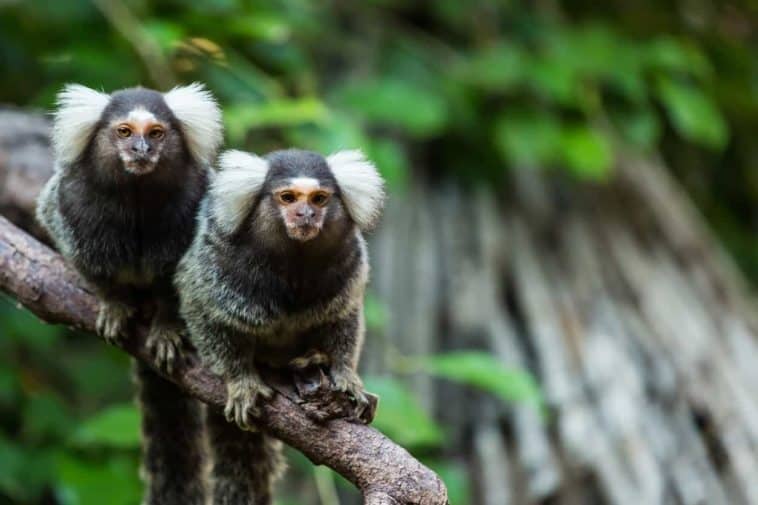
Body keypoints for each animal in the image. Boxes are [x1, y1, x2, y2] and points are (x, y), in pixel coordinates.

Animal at [36, 83, 223, 505]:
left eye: (156, 133)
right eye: (124, 132)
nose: (140, 149)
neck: (136, 197)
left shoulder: (194, 204)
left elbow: (181, 281)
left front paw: (167, 327)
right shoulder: (71, 202)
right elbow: (78, 249)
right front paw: (114, 304)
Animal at [174, 148, 385, 504]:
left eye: (319, 198)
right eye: (288, 197)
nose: (305, 214)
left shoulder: (349, 262)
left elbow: (344, 316)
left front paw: (346, 376)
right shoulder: (217, 260)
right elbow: (202, 307)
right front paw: (240, 380)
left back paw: (312, 359)